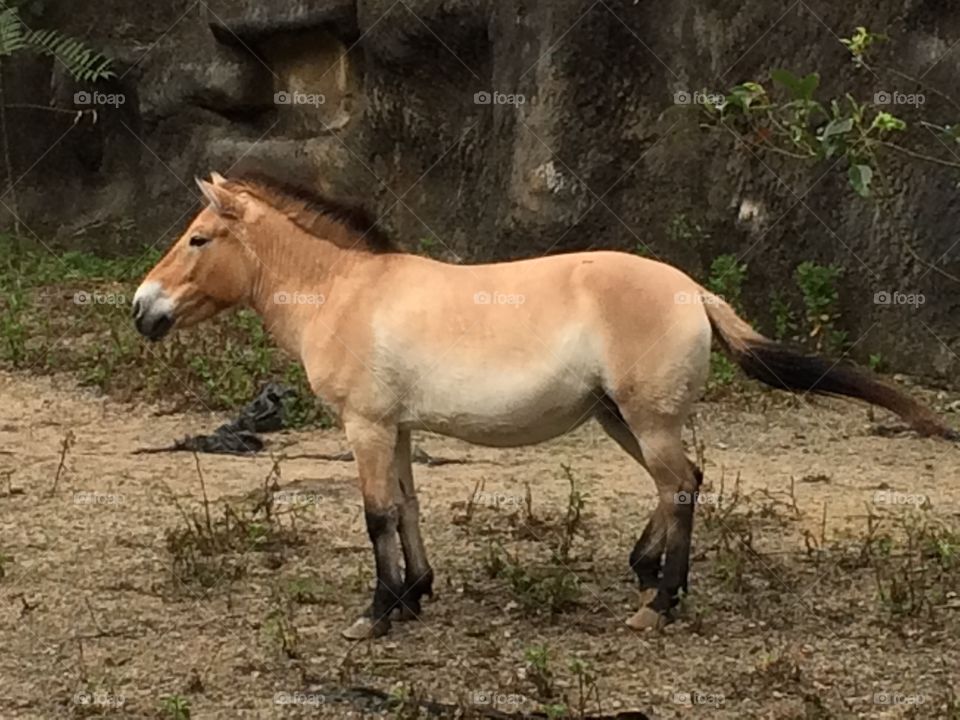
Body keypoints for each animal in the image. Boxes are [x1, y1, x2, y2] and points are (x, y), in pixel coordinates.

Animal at [133, 171, 957, 639]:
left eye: (198, 238)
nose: (143, 310)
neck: (344, 292)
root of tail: (693, 290)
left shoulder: (363, 426)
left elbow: (375, 517)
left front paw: (376, 615)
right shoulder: (394, 428)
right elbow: (407, 507)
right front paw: (416, 596)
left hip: (645, 420)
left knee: (681, 485)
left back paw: (658, 604)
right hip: (619, 418)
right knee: (681, 483)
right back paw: (647, 573)